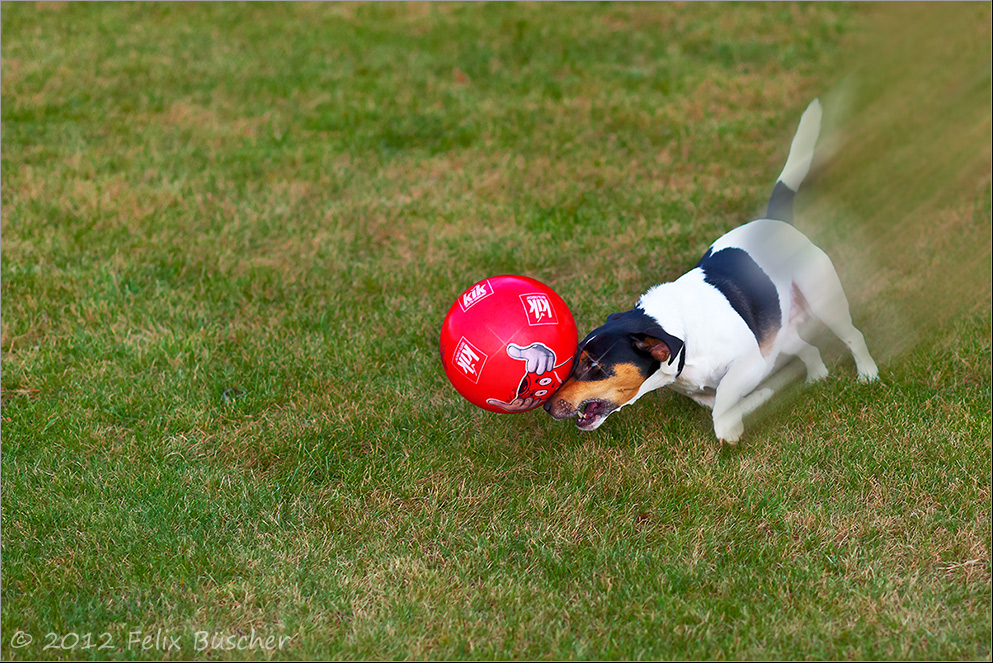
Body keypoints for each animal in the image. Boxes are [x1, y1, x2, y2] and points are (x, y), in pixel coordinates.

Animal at [548, 100, 880, 440]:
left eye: (593, 365)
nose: (547, 406)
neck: (680, 332)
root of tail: (775, 220)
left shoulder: (752, 362)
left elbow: (724, 399)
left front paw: (729, 433)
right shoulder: (704, 385)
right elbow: (719, 400)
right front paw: (751, 406)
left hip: (824, 302)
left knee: (853, 336)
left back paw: (868, 374)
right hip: (780, 331)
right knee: (809, 350)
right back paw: (816, 378)